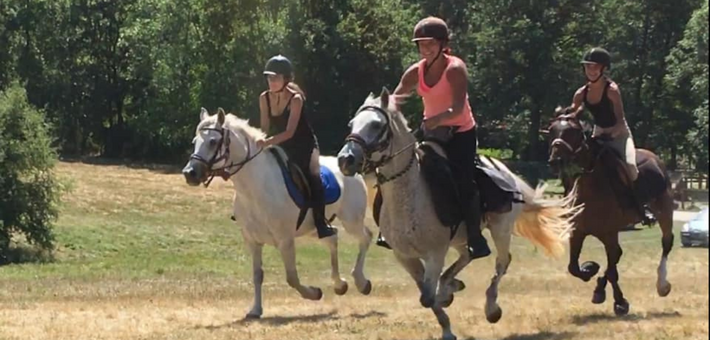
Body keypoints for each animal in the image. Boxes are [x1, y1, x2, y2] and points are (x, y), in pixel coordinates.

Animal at [182, 108, 378, 318]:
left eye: (212, 142)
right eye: (195, 142)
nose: (189, 173)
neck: (254, 188)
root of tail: (350, 169)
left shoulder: (285, 240)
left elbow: (292, 277)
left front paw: (314, 293)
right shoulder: (252, 241)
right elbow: (257, 275)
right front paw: (255, 310)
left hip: (351, 220)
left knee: (365, 237)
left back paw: (361, 282)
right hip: (316, 227)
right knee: (332, 238)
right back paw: (340, 285)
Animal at [336, 89, 580, 340]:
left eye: (376, 125)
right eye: (352, 124)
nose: (345, 160)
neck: (408, 196)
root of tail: (504, 170)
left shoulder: (434, 253)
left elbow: (427, 297)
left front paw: (447, 325)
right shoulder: (404, 256)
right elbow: (426, 293)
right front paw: (446, 305)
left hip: (500, 228)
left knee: (501, 262)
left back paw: (491, 308)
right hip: (460, 238)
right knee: (467, 255)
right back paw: (451, 287)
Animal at [544, 109, 680, 316]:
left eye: (573, 132)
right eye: (552, 130)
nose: (555, 161)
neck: (590, 188)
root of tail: (655, 158)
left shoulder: (609, 233)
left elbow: (612, 268)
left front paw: (620, 302)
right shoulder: (578, 232)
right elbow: (574, 267)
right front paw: (590, 270)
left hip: (664, 211)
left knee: (666, 243)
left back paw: (662, 284)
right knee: (616, 256)